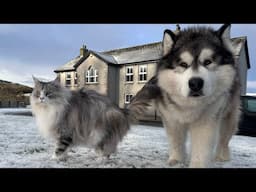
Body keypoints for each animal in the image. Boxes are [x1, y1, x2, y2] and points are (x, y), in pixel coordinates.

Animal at [132, 24, 242, 168]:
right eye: (183, 64)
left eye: (208, 62)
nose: (195, 83)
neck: (190, 105)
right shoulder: (171, 119)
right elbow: (176, 141)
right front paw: (177, 160)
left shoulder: (206, 121)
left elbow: (201, 147)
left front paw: (198, 165)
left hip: (229, 115)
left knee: (224, 138)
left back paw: (222, 156)